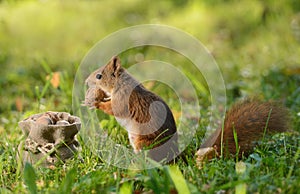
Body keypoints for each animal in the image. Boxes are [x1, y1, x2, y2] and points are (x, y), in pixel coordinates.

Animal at [83, 55, 290, 161]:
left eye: (99, 76)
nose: (86, 81)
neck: (120, 83)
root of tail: (176, 155)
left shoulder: (124, 98)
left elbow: (115, 109)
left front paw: (95, 102)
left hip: (143, 142)